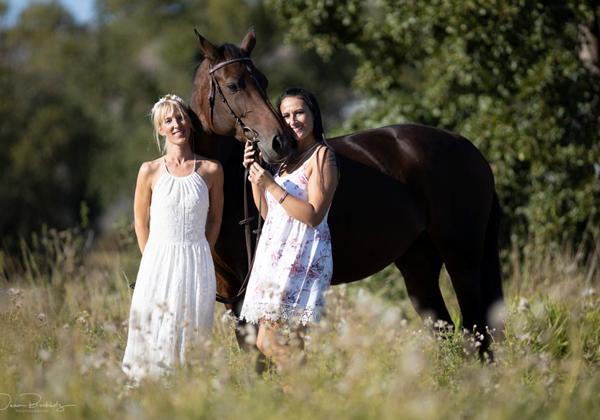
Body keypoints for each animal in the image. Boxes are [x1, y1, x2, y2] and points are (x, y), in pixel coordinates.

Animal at [191, 31, 502, 356]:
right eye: (233, 85)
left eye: (263, 81)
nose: (280, 142)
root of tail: (468, 147)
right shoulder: (234, 297)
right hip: (418, 264)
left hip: (462, 258)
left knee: (477, 332)